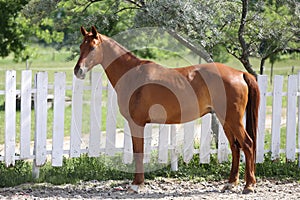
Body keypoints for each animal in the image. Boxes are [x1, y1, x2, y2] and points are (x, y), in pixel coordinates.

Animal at [74, 26, 258, 194]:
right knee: (235, 146)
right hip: (225, 119)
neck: (132, 75)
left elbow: (138, 152)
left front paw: (136, 185)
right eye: (81, 47)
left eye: (93, 47)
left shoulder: (137, 123)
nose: (78, 70)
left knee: (248, 144)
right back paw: (230, 183)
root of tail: (240, 73)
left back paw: (249, 185)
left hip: (233, 120)